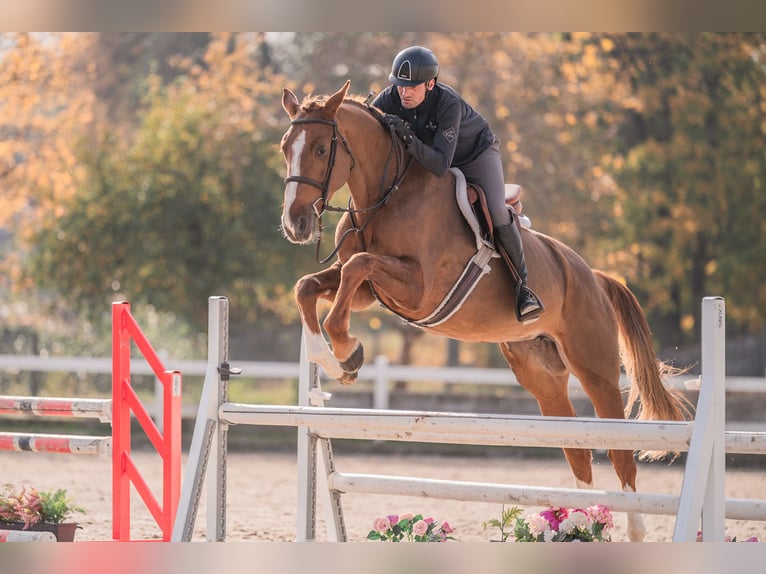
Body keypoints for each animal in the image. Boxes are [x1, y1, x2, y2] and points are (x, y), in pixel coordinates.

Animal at [278, 80, 692, 541]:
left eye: (319, 148)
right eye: (284, 148)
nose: (294, 223)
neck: (386, 194)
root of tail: (595, 276)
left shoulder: (417, 287)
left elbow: (356, 267)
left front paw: (347, 351)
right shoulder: (370, 292)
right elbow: (309, 285)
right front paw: (332, 358)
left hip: (595, 369)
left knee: (620, 451)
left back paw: (630, 527)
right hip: (541, 375)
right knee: (578, 449)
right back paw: (579, 524)